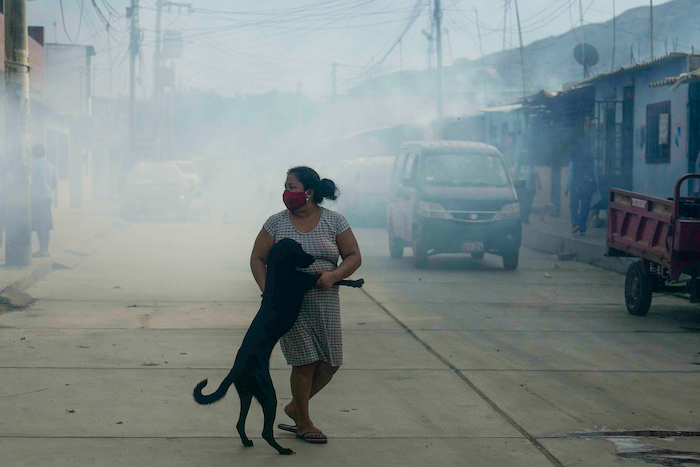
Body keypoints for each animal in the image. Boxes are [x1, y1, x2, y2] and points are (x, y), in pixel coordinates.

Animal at [194, 239, 320, 456]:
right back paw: (283, 450)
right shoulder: (308, 280)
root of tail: (236, 367)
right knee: (266, 432)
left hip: (246, 394)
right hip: (268, 394)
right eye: (298, 249)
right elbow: (330, 278)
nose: (313, 258)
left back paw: (247, 442)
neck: (280, 270)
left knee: (239, 424)